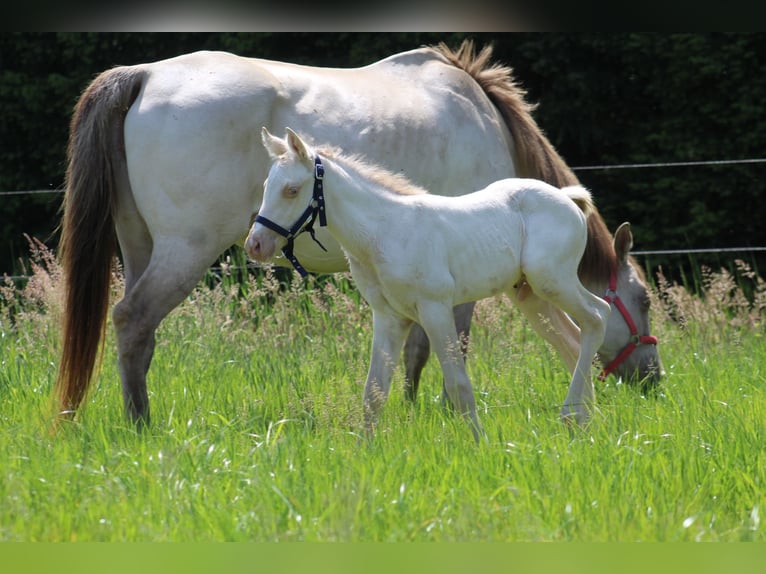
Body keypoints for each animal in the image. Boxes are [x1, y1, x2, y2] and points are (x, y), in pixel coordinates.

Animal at [247, 127, 612, 439]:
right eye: (265, 186)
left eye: (292, 190)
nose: (255, 245)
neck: (384, 233)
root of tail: (567, 199)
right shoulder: (389, 317)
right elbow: (373, 393)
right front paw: (364, 452)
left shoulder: (435, 308)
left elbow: (459, 385)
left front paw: (482, 446)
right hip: (530, 295)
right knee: (573, 340)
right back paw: (582, 422)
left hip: (553, 280)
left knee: (598, 316)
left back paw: (572, 416)